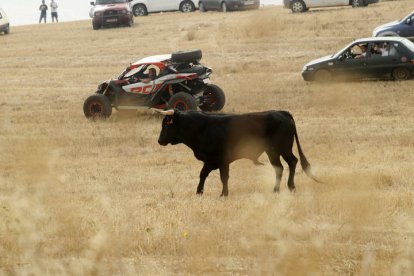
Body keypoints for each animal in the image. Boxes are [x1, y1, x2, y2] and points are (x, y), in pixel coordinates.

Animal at [157, 109, 318, 195]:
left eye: (166, 124)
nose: (159, 141)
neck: (201, 128)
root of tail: (281, 112)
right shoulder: (213, 161)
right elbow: (205, 175)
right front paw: (200, 192)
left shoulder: (220, 160)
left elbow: (221, 177)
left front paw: (222, 194)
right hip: (274, 151)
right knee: (282, 166)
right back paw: (279, 189)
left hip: (281, 148)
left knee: (290, 163)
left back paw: (289, 187)